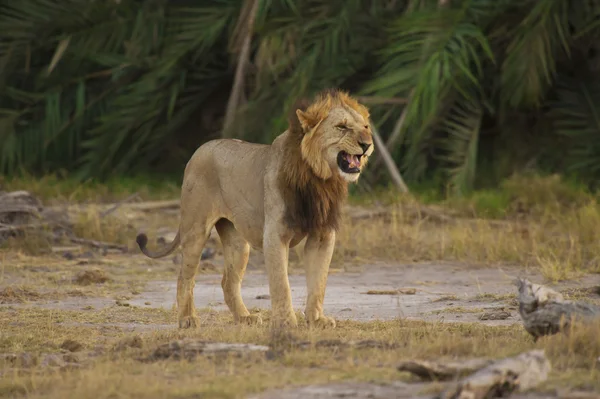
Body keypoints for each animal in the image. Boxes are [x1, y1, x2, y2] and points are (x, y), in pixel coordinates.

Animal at [135, 89, 376, 330]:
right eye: (342, 127)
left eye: (365, 126)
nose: (367, 144)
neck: (320, 179)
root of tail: (199, 150)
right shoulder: (275, 235)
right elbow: (281, 283)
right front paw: (286, 322)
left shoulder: (322, 235)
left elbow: (319, 281)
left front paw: (316, 319)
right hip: (195, 229)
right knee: (185, 277)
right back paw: (187, 319)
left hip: (238, 243)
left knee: (227, 281)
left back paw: (245, 317)